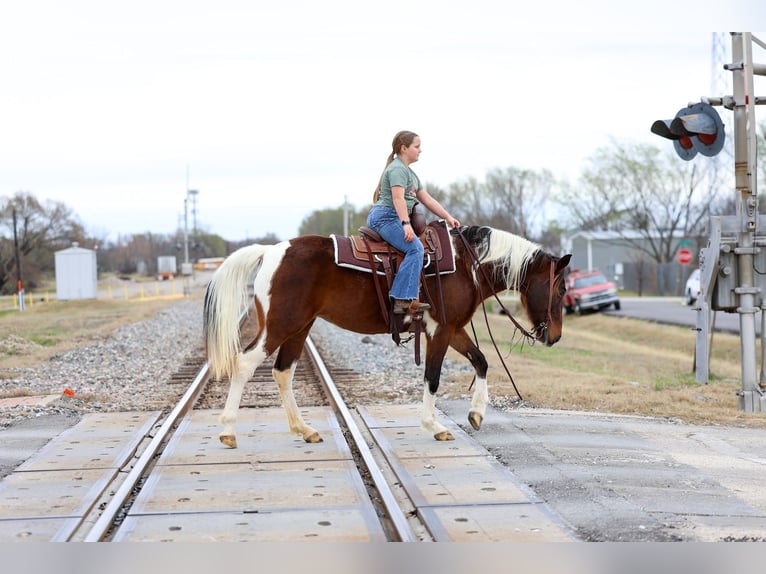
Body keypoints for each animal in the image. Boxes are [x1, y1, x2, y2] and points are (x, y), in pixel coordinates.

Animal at [203, 225, 571, 447]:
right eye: (561, 289)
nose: (555, 337)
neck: (467, 265)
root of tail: (271, 251)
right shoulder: (440, 331)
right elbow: (432, 377)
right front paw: (434, 425)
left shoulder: (452, 329)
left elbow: (480, 361)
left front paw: (477, 414)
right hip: (280, 325)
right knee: (245, 364)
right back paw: (228, 430)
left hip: (299, 327)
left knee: (283, 372)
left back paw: (303, 429)